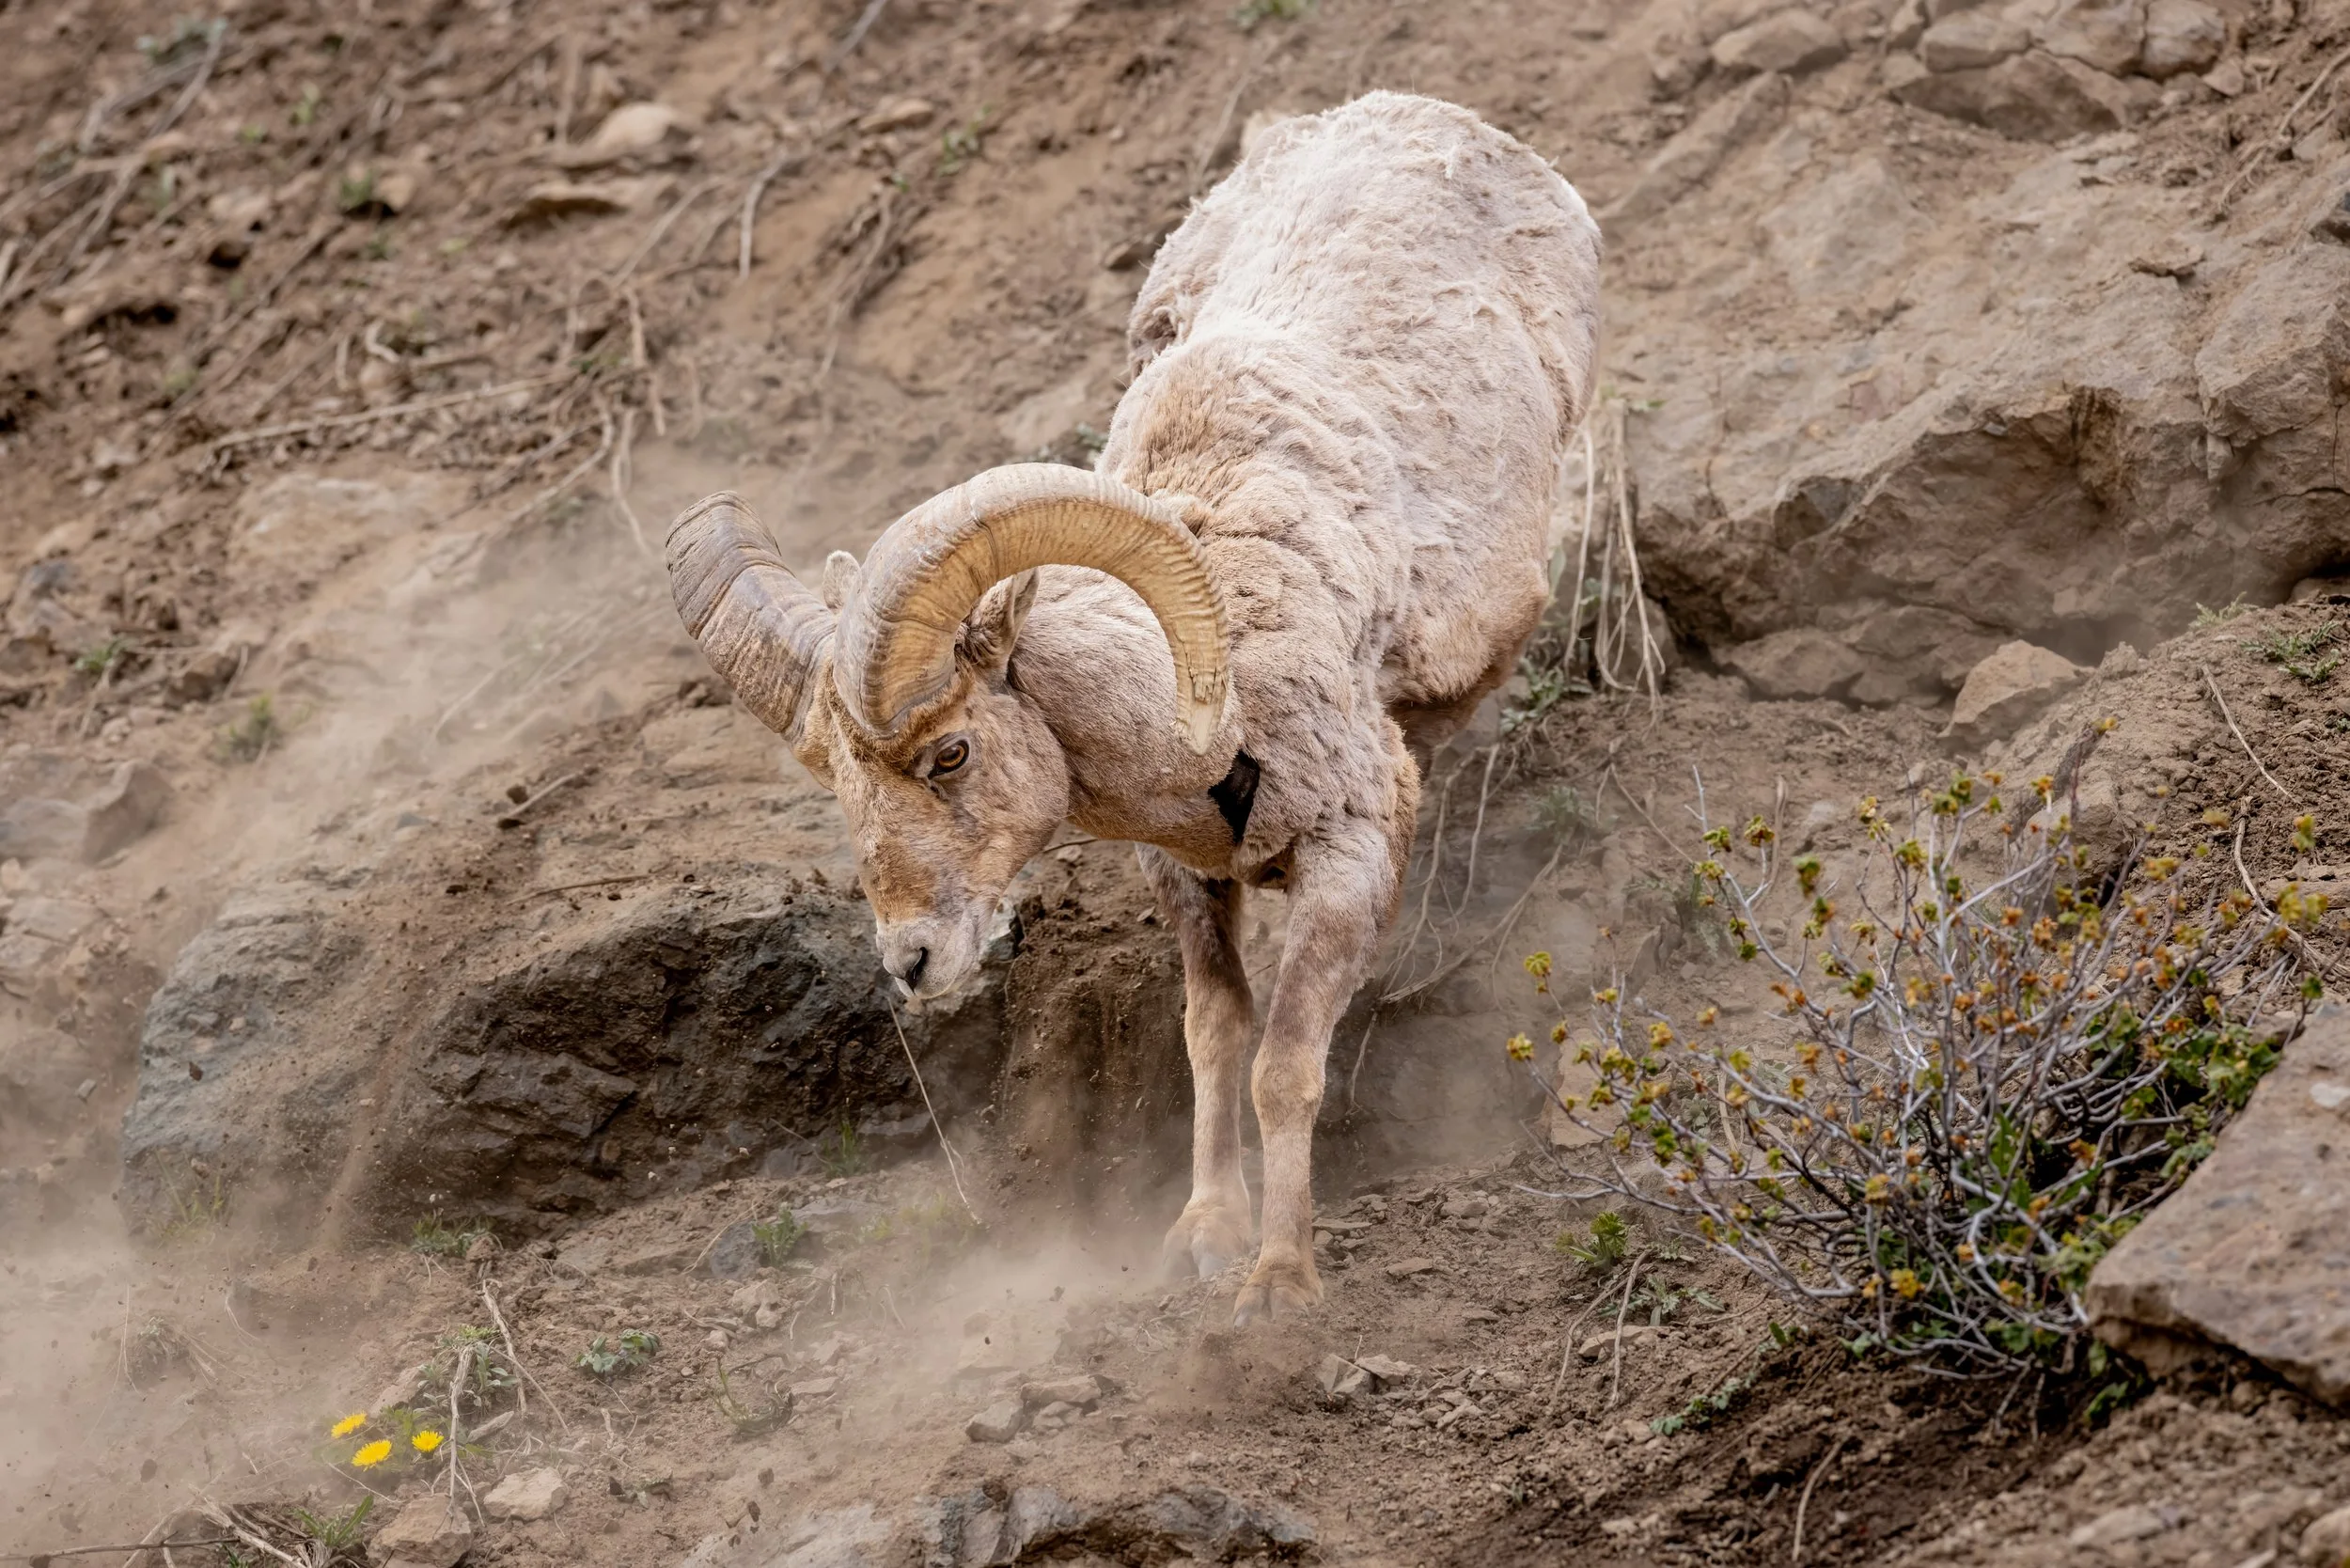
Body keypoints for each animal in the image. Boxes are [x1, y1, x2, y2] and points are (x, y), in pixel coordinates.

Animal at [666, 91, 1601, 1324]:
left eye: (949, 753)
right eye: (840, 784)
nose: (911, 963)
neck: (1217, 716)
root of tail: (1414, 116)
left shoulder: (1344, 857)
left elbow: (1284, 1068)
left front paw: (1278, 1284)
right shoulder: (1189, 881)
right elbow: (1214, 1040)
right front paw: (1205, 1238)